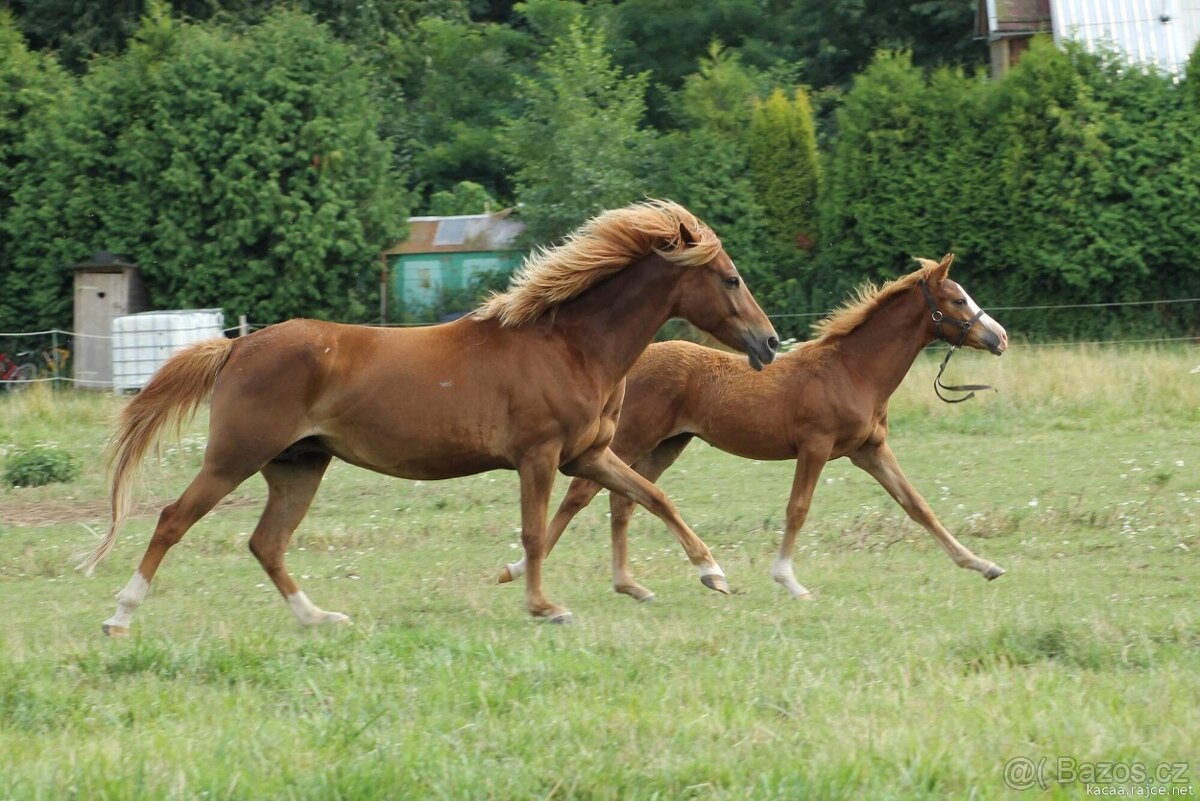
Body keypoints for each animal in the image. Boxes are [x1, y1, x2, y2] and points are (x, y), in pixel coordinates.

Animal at [80, 200, 780, 634]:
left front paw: (713, 573)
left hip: (297, 466)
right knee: (173, 521)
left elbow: (653, 497)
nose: (770, 344)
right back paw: (119, 615)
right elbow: (535, 532)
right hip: (236, 457)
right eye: (729, 278)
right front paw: (544, 606)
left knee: (266, 543)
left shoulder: (587, 455)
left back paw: (318, 618)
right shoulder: (538, 458)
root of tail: (236, 346)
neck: (569, 345)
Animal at [497, 253, 1008, 601]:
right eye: (958, 299)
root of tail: (632, 364)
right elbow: (797, 509)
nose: (999, 337)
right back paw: (519, 570)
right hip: (629, 440)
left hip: (667, 445)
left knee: (625, 501)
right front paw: (789, 581)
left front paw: (981, 564)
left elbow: (917, 505)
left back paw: (632, 585)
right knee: (583, 495)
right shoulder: (816, 446)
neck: (852, 369)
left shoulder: (870, 449)